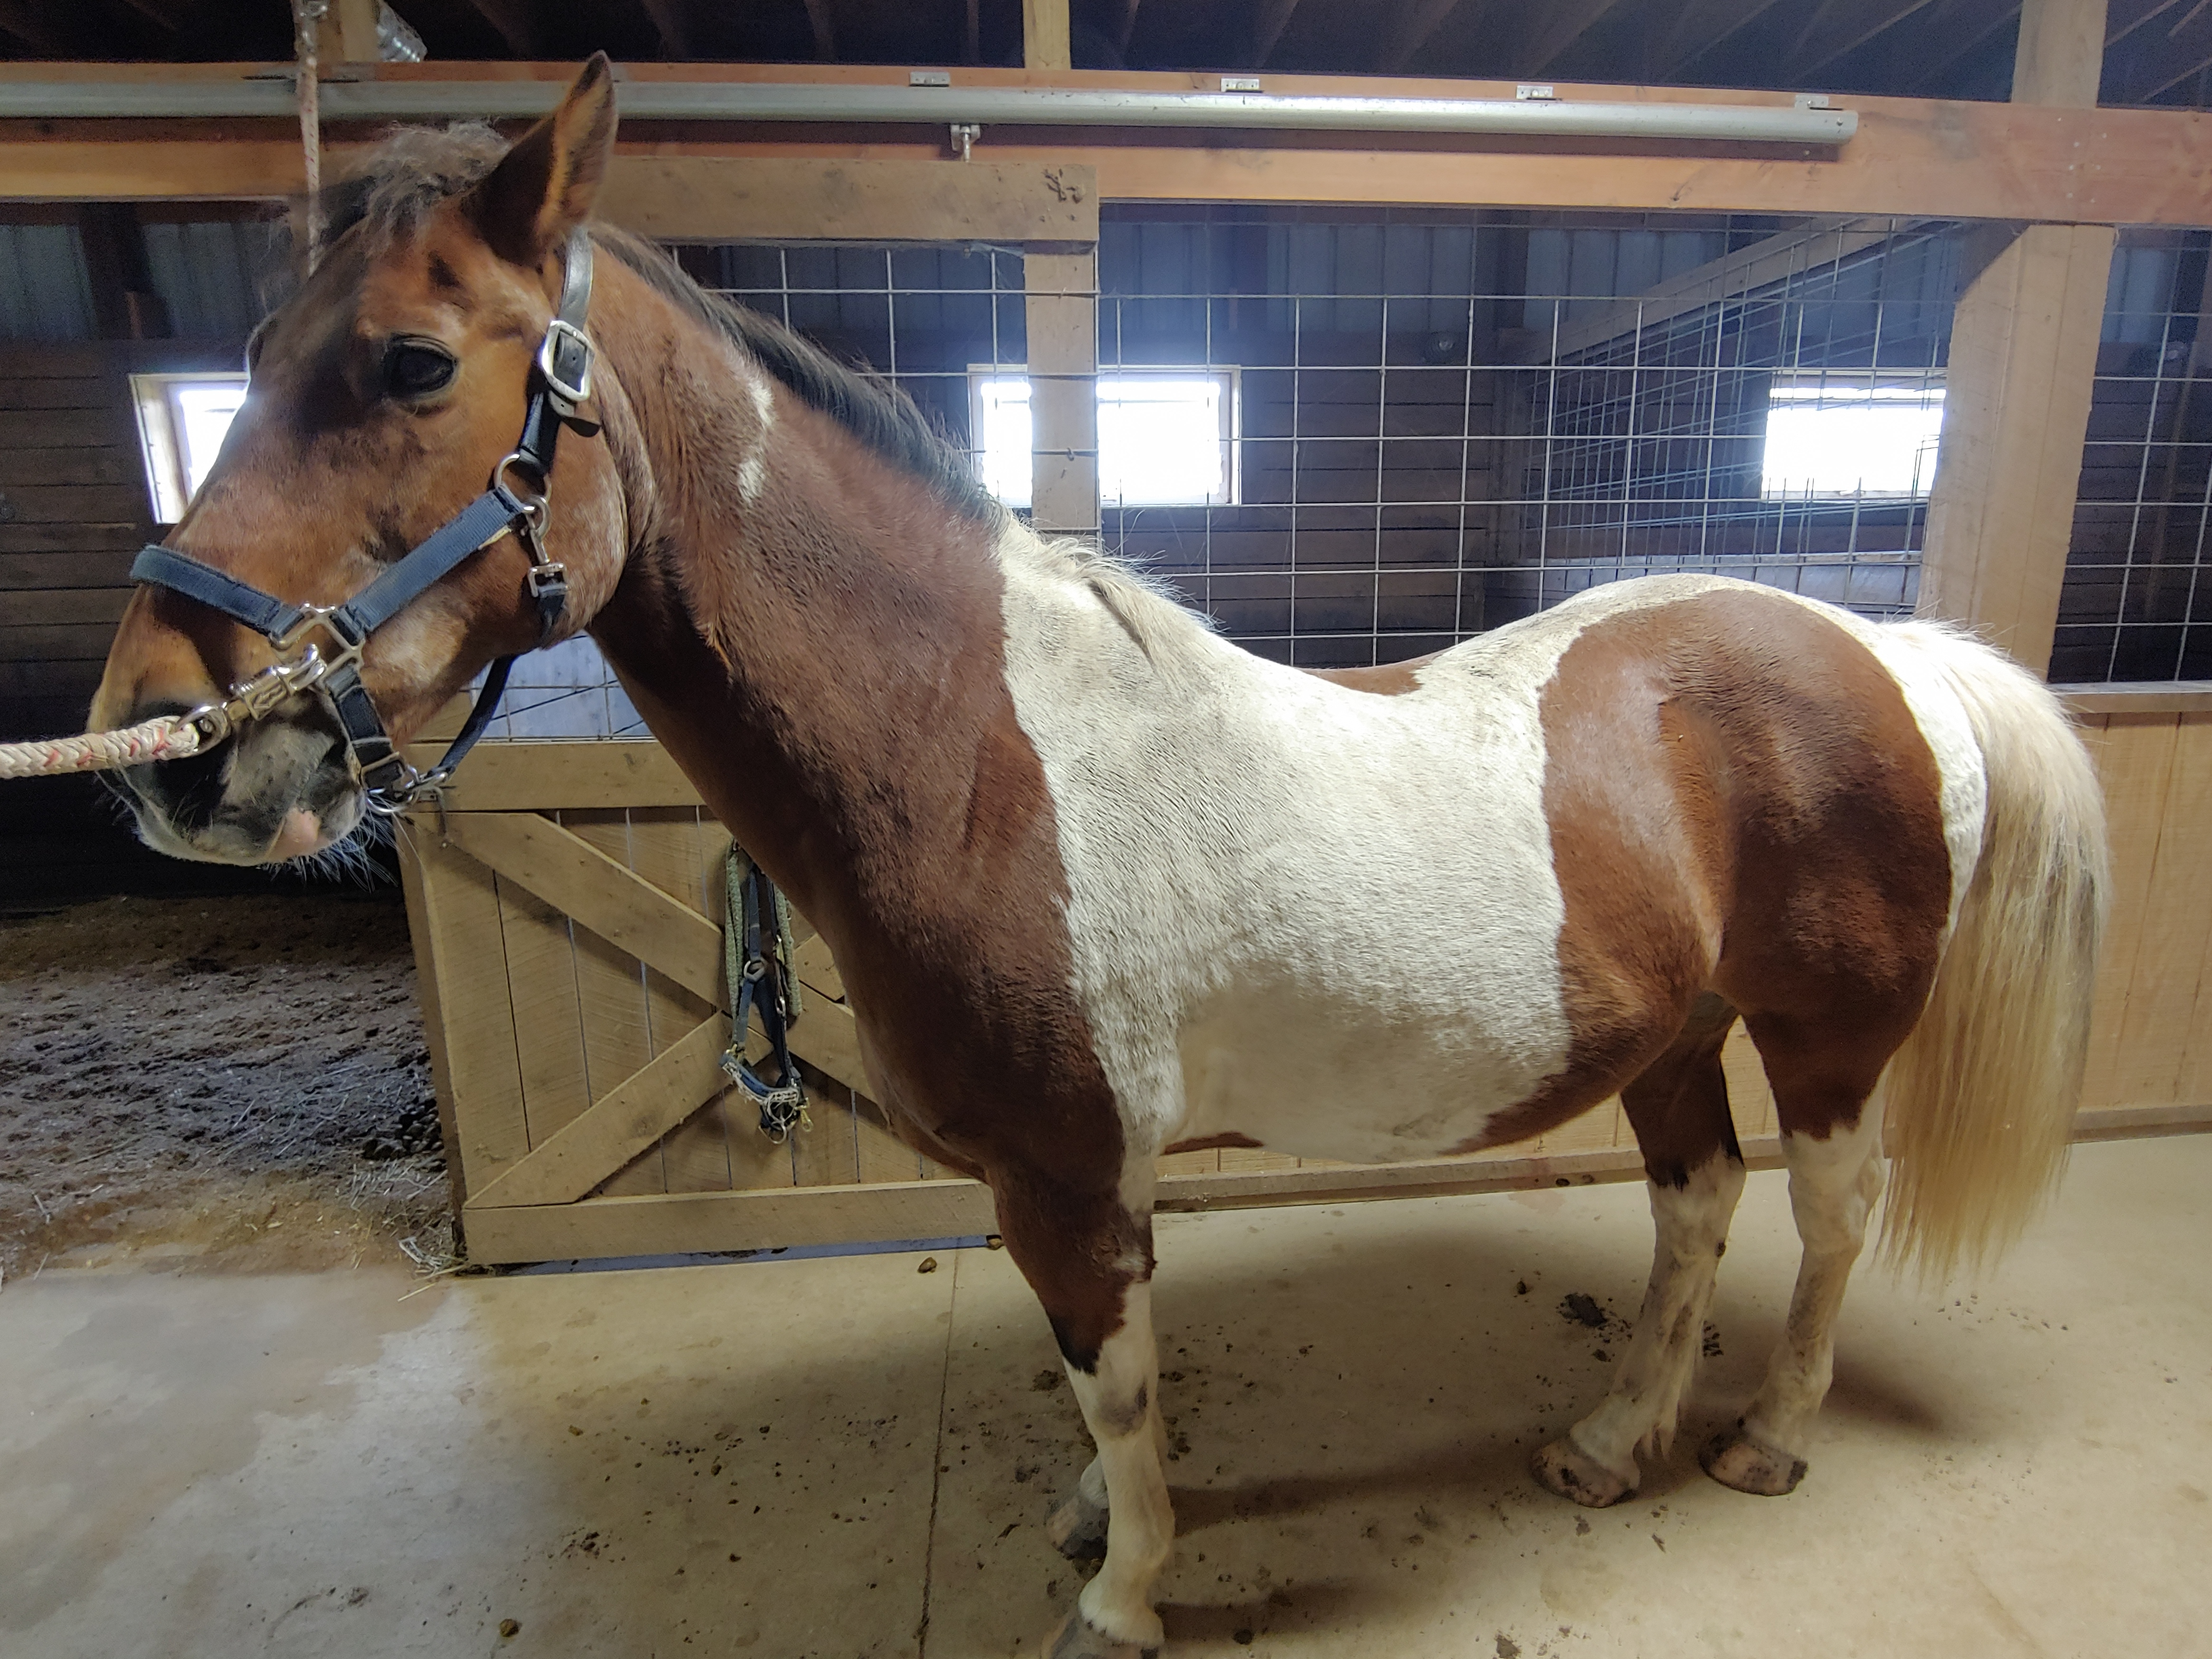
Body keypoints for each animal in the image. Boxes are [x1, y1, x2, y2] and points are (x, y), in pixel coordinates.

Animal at [92, 59, 2109, 1658]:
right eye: (248, 360)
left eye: (413, 360)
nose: (175, 753)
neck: (980, 753)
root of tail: (1881, 651)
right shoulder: (1041, 1181)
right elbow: (1088, 1381)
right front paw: (1087, 1519)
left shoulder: (1073, 1174)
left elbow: (1123, 1384)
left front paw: (1121, 1592)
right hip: (1675, 1037)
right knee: (1694, 1211)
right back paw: (1613, 1444)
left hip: (1826, 1039)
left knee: (1829, 1215)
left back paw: (1766, 1437)